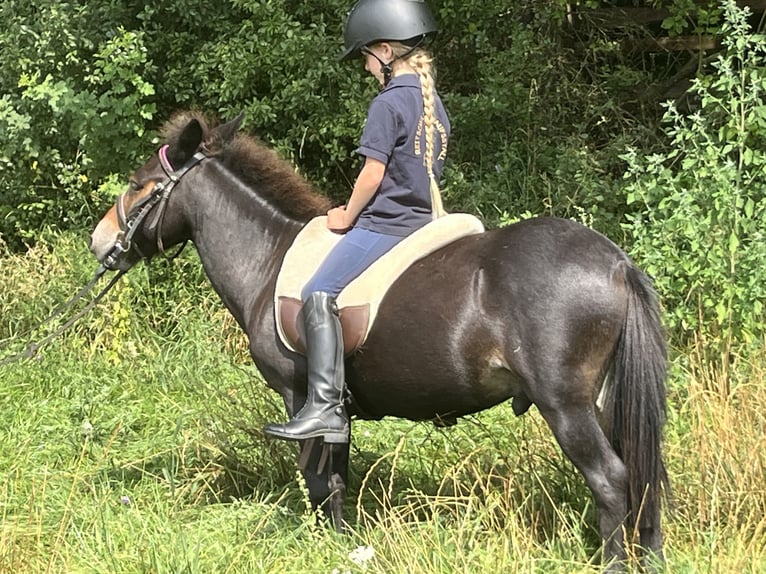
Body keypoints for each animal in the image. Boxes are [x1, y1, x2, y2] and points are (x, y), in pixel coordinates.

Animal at [88, 113, 664, 572]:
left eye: (139, 185)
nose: (100, 241)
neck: (268, 258)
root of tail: (615, 262)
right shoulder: (336, 411)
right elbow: (338, 480)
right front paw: (344, 544)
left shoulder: (301, 399)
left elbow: (317, 481)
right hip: (604, 402)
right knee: (643, 475)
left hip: (566, 404)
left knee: (611, 479)